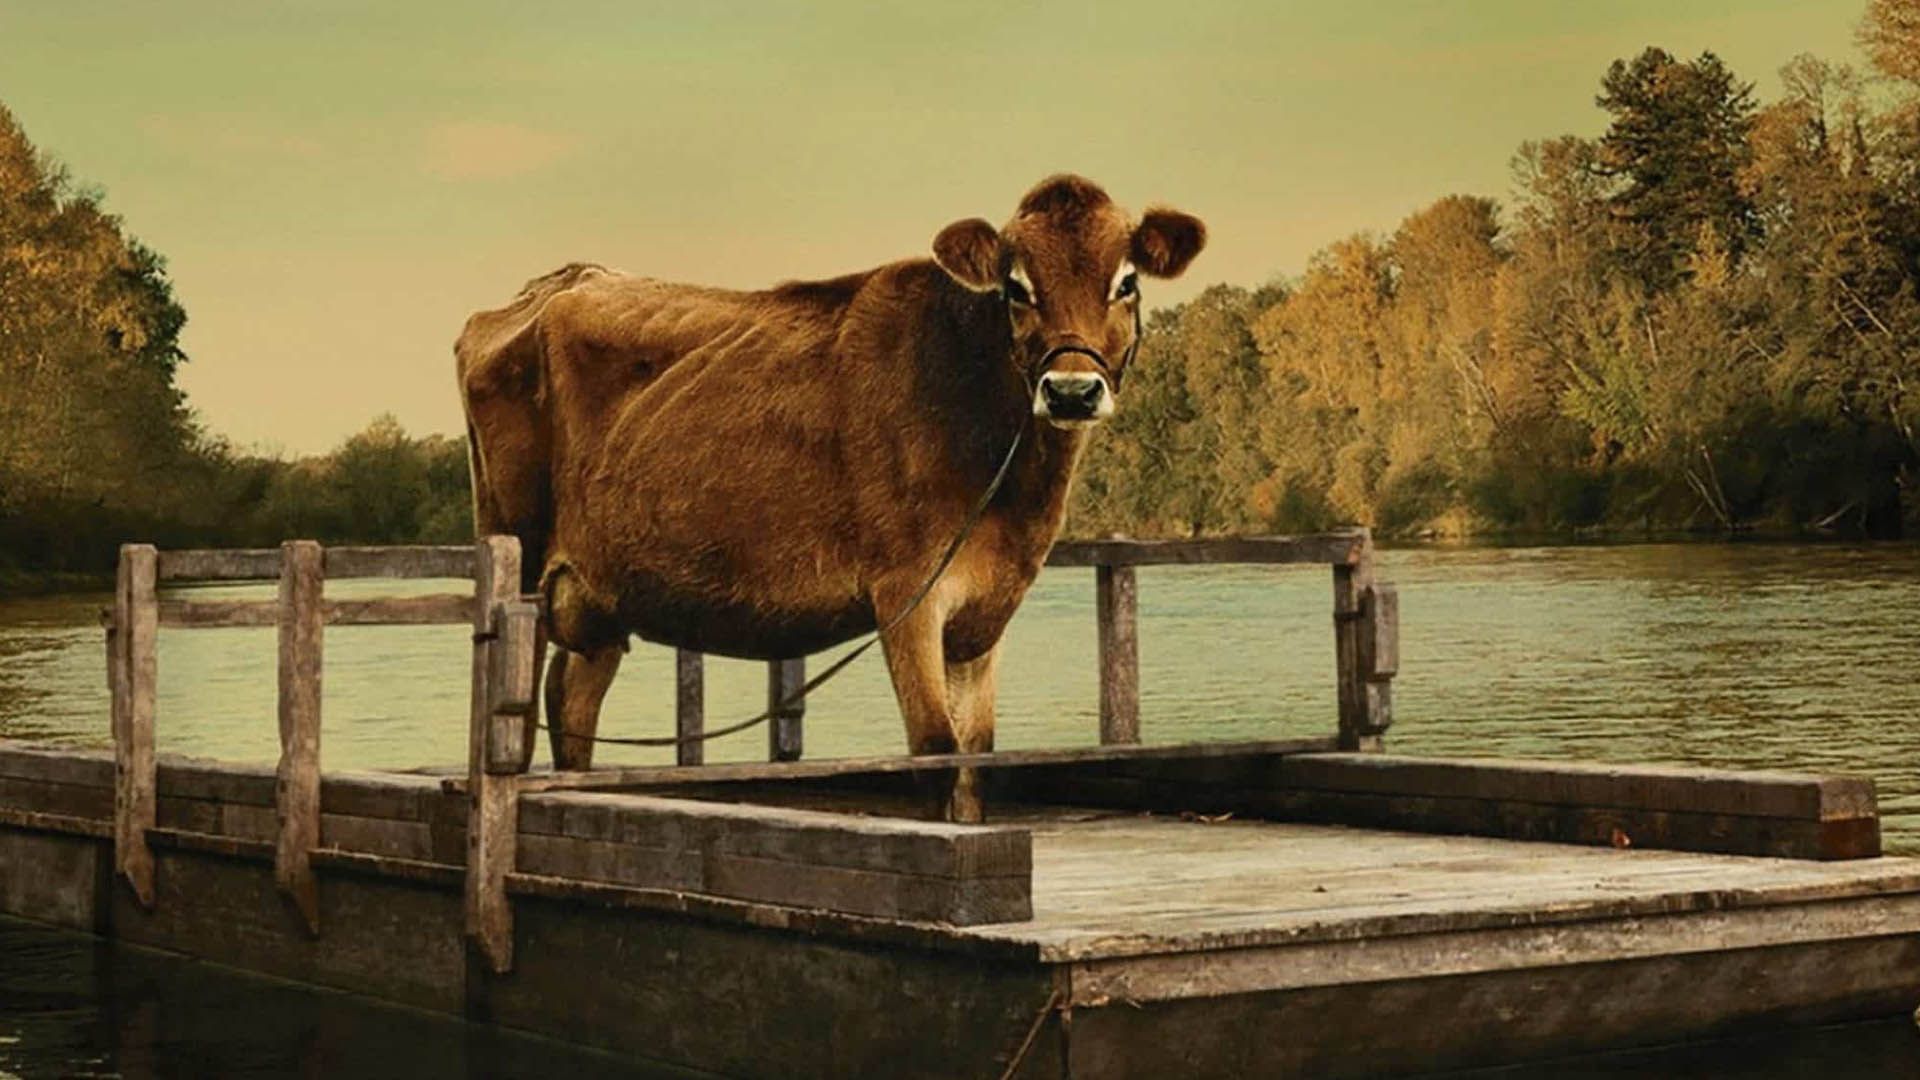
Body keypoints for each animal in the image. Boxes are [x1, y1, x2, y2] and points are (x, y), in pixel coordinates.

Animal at [456, 174, 1205, 821]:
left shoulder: (984, 612)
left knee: (572, 701)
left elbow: (975, 760)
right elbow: (934, 752)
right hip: (520, 556)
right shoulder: (908, 592)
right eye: (1016, 287)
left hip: (602, 591)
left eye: (1126, 282)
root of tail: (556, 284)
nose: (1071, 391)